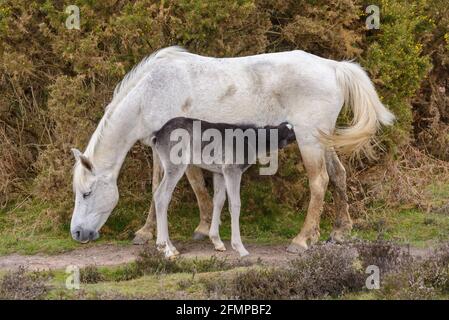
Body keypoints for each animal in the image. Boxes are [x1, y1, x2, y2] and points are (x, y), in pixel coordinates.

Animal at [69, 45, 392, 255]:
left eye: (86, 193)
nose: (77, 234)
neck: (151, 91)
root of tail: (334, 67)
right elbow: (161, 187)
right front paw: (150, 233)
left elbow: (193, 185)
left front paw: (200, 230)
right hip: (322, 140)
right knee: (338, 175)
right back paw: (338, 231)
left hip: (309, 139)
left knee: (319, 181)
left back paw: (301, 240)